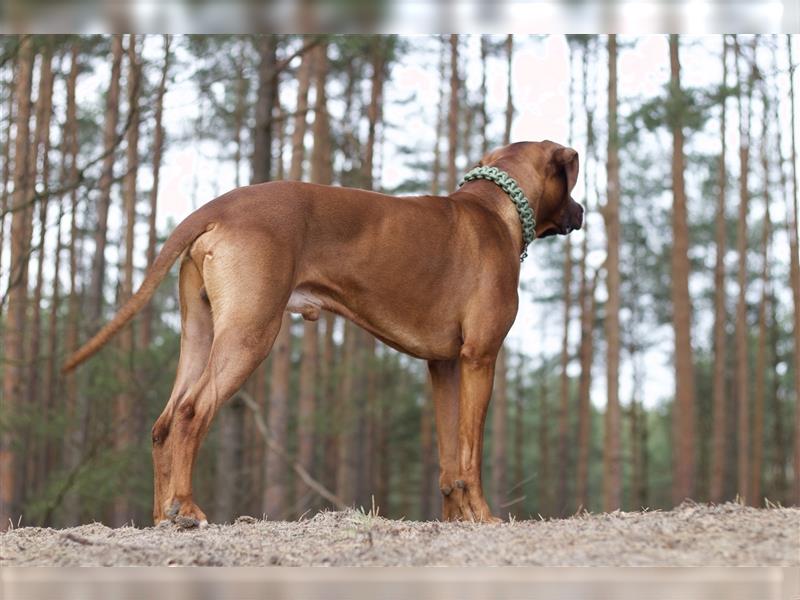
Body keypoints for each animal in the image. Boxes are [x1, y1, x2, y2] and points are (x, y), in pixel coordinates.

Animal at [64, 138, 580, 524]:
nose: (581, 211)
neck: (496, 208)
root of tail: (221, 205)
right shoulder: (479, 358)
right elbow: (471, 454)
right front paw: (484, 516)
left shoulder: (445, 366)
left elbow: (449, 456)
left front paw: (456, 519)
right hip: (250, 332)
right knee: (192, 412)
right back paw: (187, 509)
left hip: (200, 331)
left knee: (164, 423)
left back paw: (163, 515)